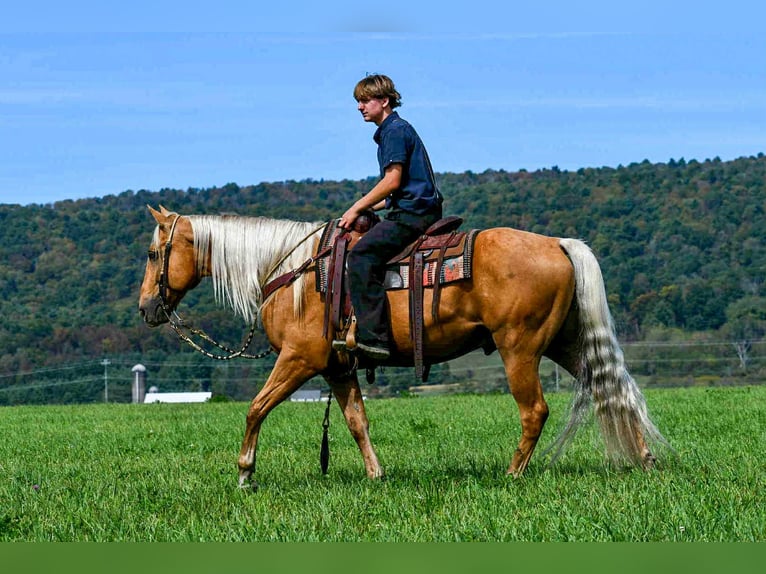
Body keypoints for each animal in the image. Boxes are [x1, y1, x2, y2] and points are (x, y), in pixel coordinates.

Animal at [138, 205, 669, 489]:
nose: (147, 307)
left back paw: (513, 473)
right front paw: (376, 475)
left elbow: (255, 408)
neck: (291, 271)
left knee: (535, 410)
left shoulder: (299, 359)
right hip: (566, 343)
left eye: (152, 253)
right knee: (613, 389)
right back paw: (644, 459)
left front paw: (245, 474)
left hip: (519, 346)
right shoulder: (337, 367)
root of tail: (558, 244)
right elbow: (356, 421)